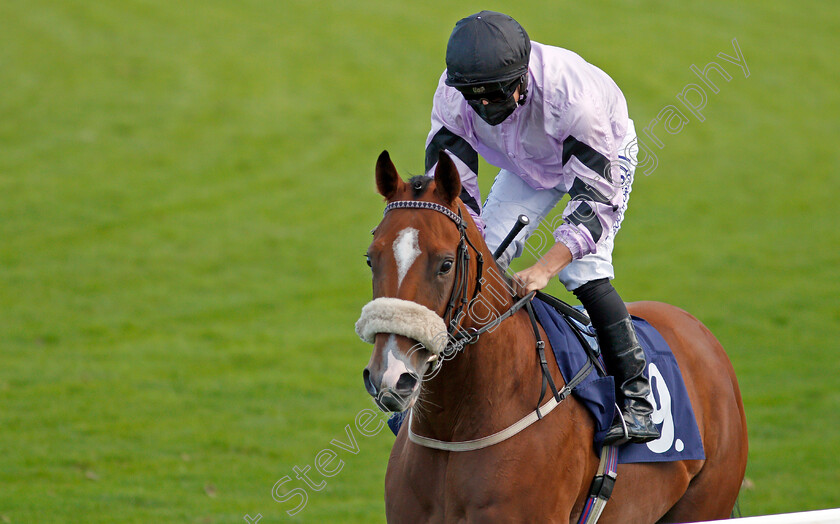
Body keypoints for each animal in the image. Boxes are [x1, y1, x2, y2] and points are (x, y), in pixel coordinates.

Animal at [358, 149, 752, 520]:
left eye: (445, 264)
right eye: (370, 258)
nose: (390, 377)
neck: (455, 426)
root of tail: (696, 329)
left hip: (707, 502)